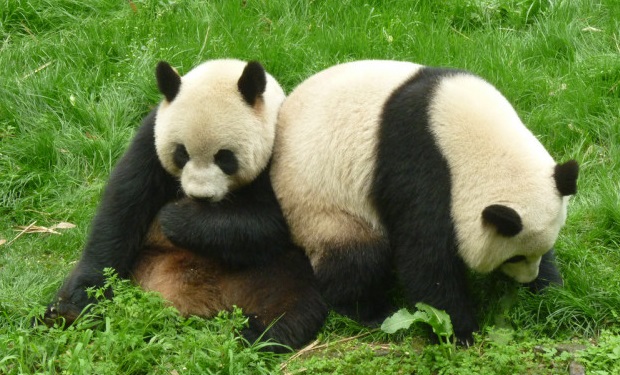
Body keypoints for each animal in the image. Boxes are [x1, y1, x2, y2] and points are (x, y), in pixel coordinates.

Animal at [42, 58, 330, 352]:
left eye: (225, 158)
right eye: (182, 153)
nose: (200, 196)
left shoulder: (280, 154)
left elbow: (268, 223)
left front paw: (178, 218)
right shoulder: (150, 138)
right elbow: (121, 211)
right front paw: (80, 303)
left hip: (271, 270)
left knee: (292, 294)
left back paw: (257, 333)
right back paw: (63, 315)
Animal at [272, 60, 580, 346]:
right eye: (514, 257)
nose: (526, 278)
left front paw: (551, 294)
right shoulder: (418, 164)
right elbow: (426, 257)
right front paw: (459, 332)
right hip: (321, 206)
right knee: (356, 257)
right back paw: (371, 312)